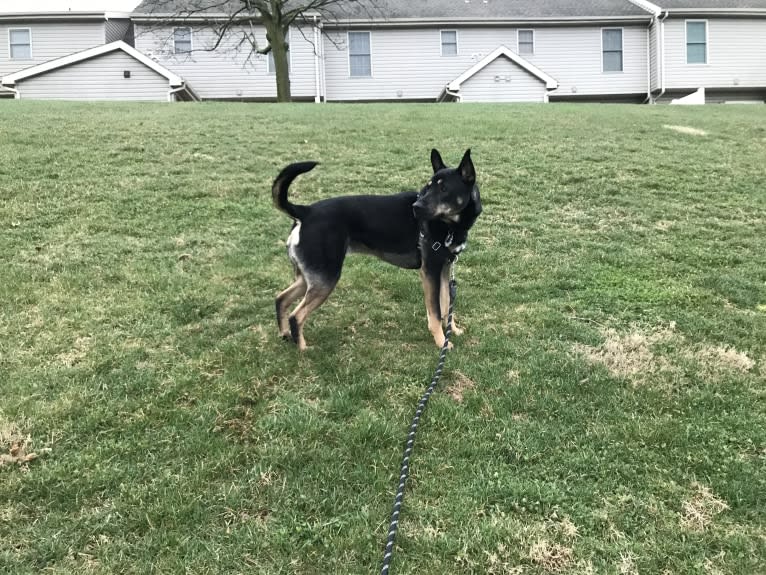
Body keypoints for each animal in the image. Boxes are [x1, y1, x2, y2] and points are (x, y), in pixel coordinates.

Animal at [272, 148, 484, 352]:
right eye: (428, 186)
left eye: (444, 188)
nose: (416, 207)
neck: (450, 226)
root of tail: (305, 212)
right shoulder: (430, 271)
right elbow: (436, 312)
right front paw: (442, 343)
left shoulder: (445, 268)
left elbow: (447, 305)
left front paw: (453, 331)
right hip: (325, 279)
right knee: (296, 316)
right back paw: (303, 349)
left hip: (310, 278)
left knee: (281, 299)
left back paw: (285, 335)